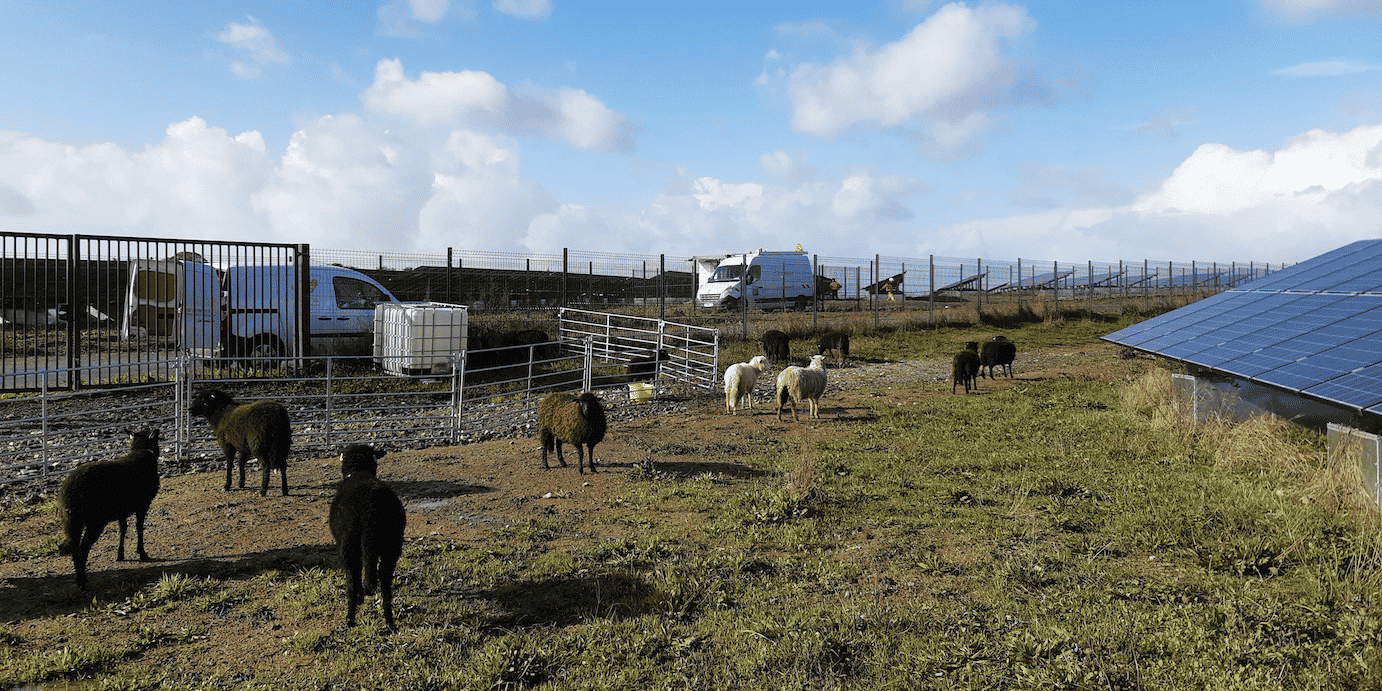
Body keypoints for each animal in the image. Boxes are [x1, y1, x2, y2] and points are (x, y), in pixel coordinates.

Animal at [56, 428, 161, 588]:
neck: (142, 450)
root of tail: (70, 490)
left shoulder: (121, 509)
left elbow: (123, 528)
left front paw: (120, 554)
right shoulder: (143, 504)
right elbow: (139, 527)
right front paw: (142, 553)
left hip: (71, 518)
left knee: (74, 546)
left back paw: (79, 577)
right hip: (95, 519)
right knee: (83, 547)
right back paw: (82, 580)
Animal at [330, 443, 406, 630]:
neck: (359, 471)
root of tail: (371, 508)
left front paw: (360, 599)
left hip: (348, 546)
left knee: (353, 579)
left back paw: (350, 619)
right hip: (392, 544)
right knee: (385, 581)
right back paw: (389, 621)